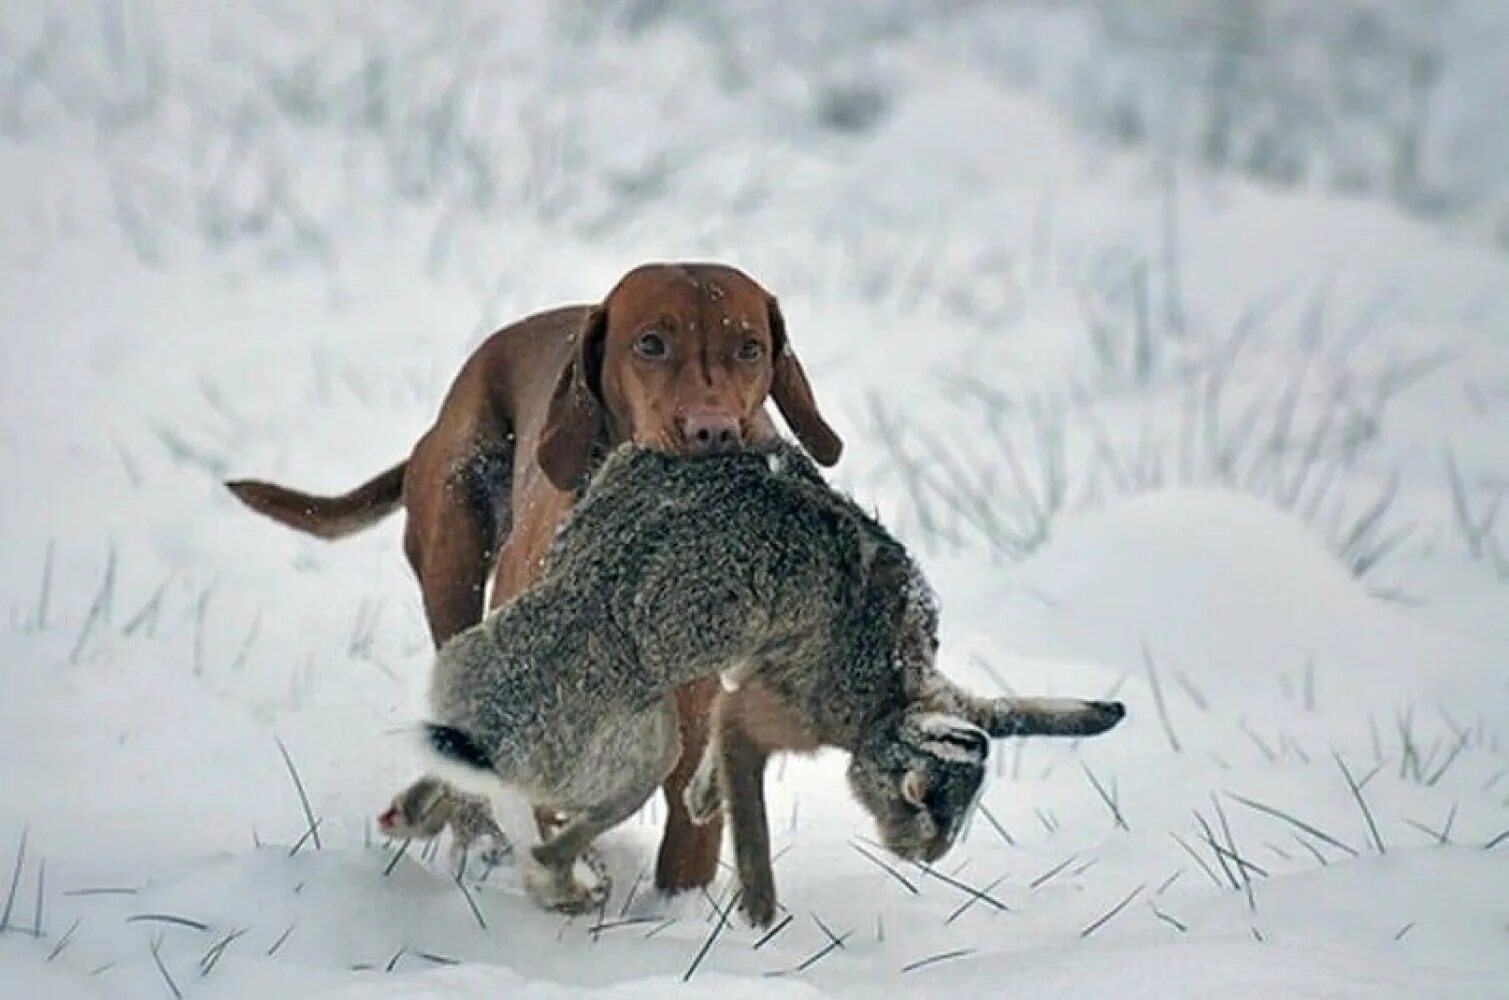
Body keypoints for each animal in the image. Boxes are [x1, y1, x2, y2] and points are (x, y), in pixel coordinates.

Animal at [223, 263, 845, 892]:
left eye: (750, 347)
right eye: (650, 344)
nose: (713, 430)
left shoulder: (697, 733)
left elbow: (687, 837)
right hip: (454, 549)